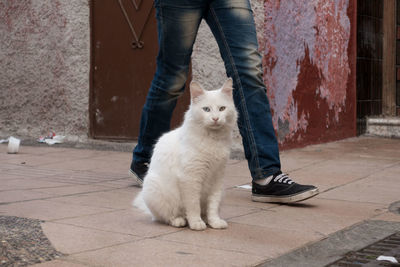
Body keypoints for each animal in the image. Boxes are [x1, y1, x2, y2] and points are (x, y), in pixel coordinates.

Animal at [135, 78, 238, 231]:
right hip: (154, 189)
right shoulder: (191, 178)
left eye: (222, 109)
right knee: (167, 216)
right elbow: (193, 205)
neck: (213, 140)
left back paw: (205, 219)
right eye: (206, 109)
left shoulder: (217, 178)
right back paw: (180, 221)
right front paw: (196, 223)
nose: (215, 118)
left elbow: (212, 206)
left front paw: (214, 222)